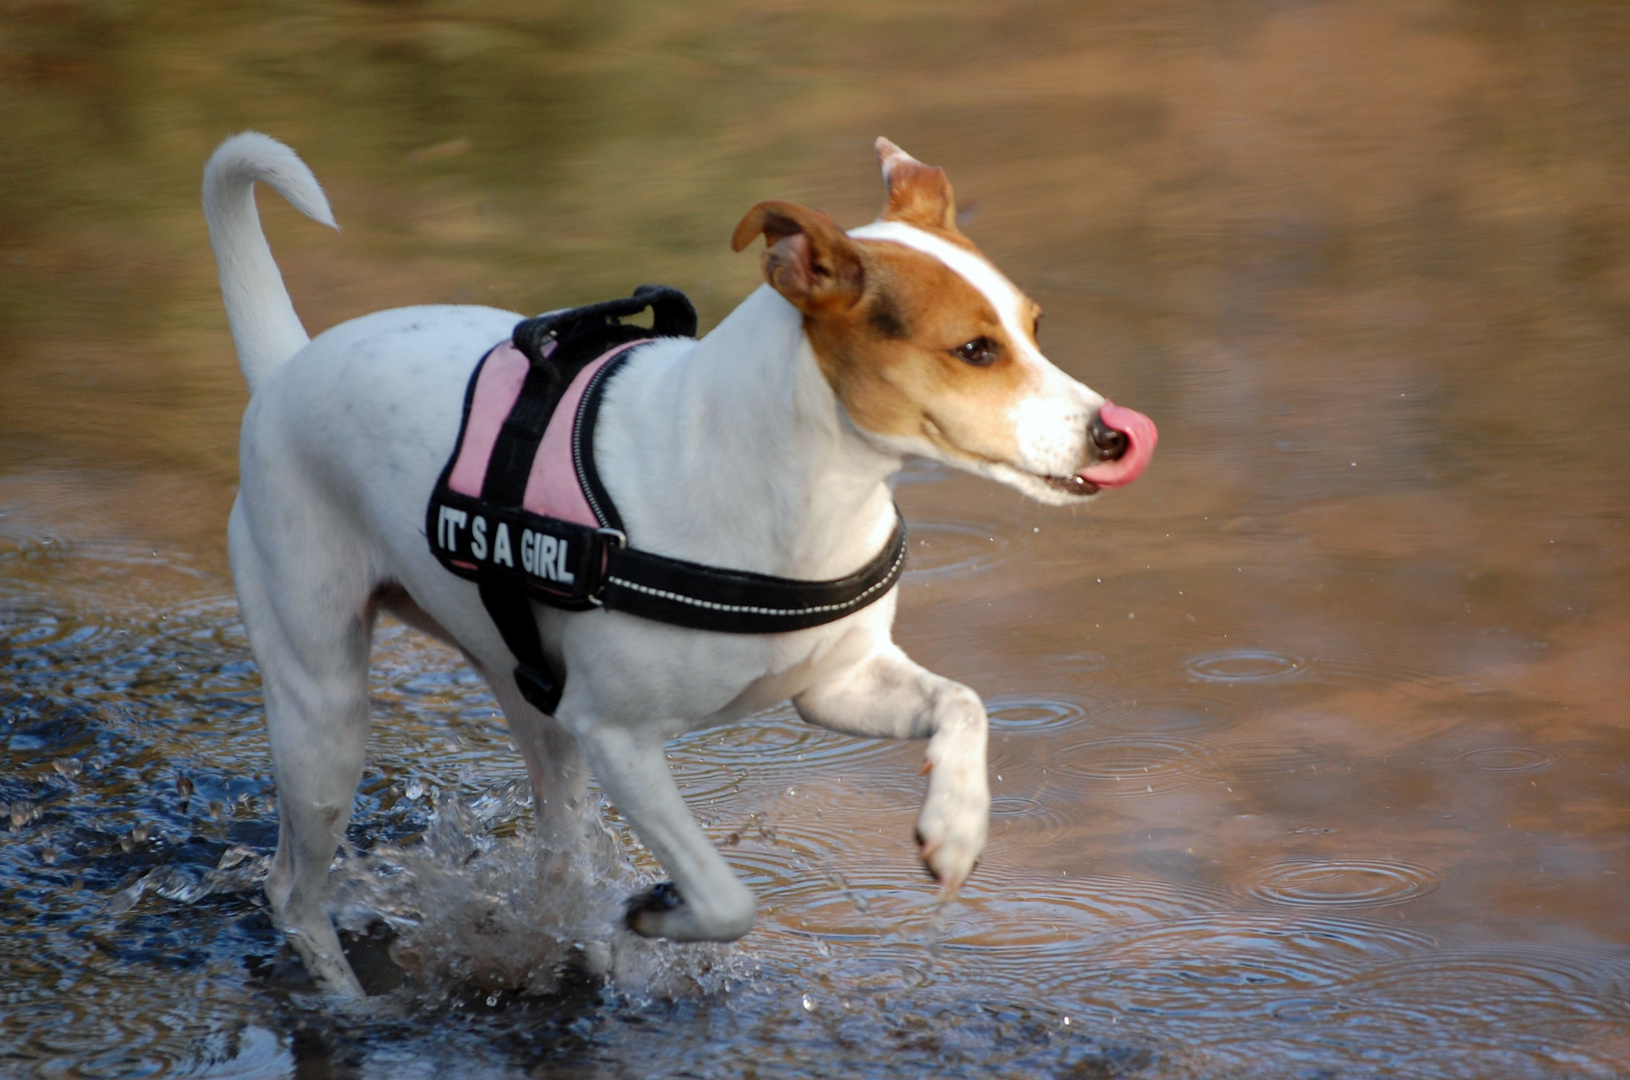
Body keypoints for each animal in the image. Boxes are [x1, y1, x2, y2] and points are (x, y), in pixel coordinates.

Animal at [203, 132, 1160, 996]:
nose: (1116, 434)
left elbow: (964, 704)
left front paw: (956, 822)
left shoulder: (835, 686)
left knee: (556, 859)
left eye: (1035, 328)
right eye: (974, 351)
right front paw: (658, 912)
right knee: (292, 891)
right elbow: (726, 897)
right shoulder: (620, 738)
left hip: (535, 712)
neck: (802, 488)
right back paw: (346, 1001)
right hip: (325, 715)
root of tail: (287, 366)